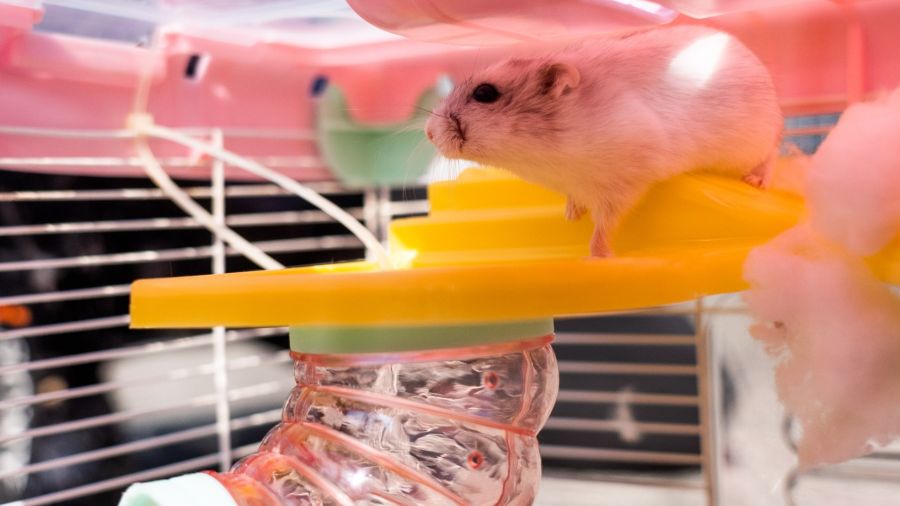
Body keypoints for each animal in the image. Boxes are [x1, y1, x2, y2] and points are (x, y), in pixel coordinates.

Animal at [426, 25, 782, 257]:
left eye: (485, 93)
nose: (428, 132)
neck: (547, 158)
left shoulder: (624, 181)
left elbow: (606, 223)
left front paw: (597, 255)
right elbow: (578, 200)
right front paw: (571, 214)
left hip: (757, 138)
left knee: (771, 156)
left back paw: (757, 180)